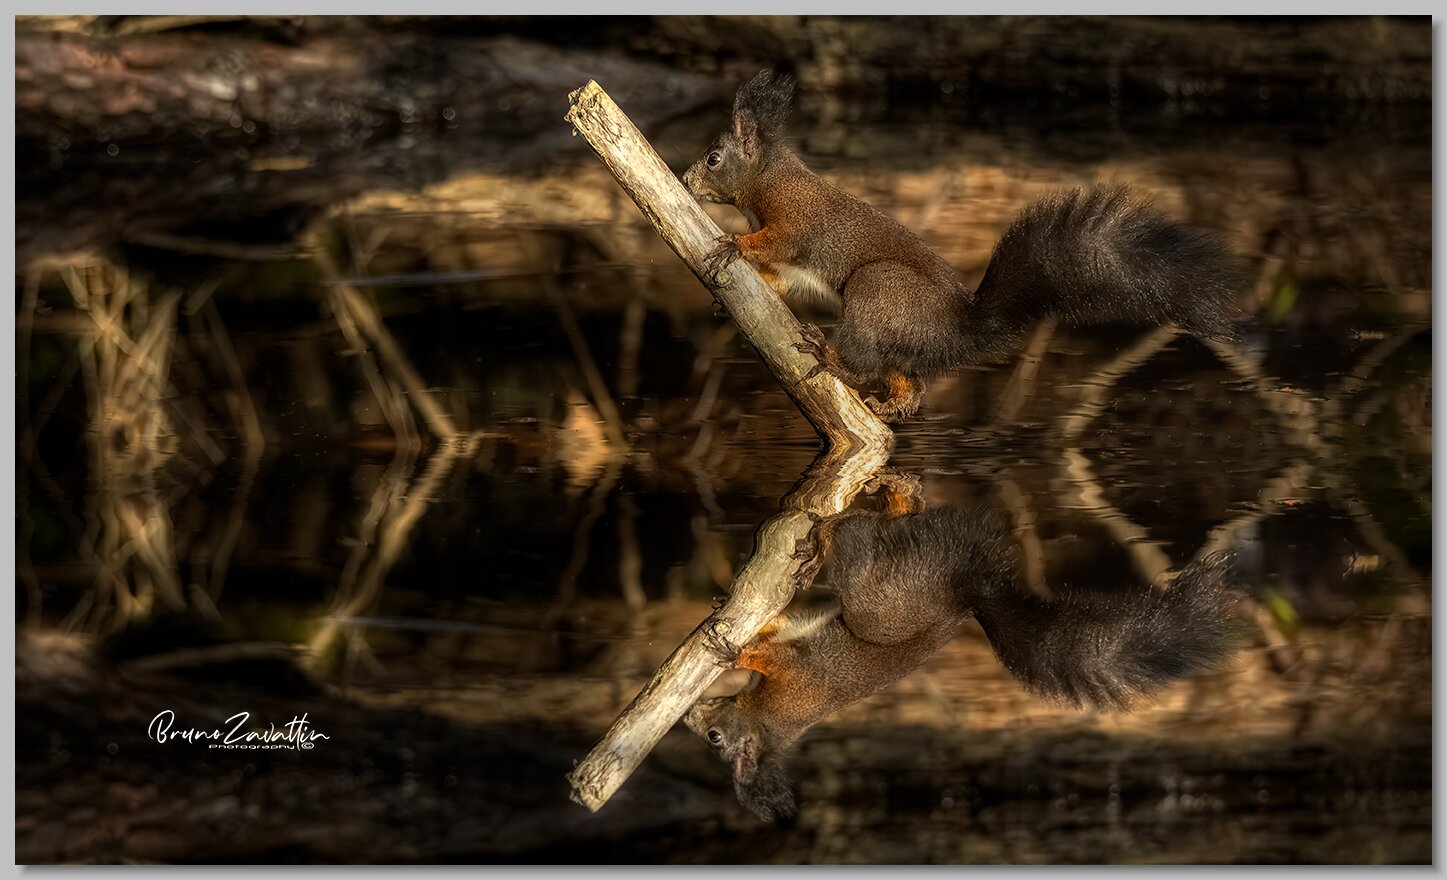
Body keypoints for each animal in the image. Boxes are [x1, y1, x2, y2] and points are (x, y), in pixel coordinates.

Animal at [682, 69, 1252, 421]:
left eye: (713, 158)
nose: (686, 182)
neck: (770, 180)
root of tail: (958, 331)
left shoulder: (798, 222)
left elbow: (774, 242)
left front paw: (733, 244)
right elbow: (775, 279)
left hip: (880, 289)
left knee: (864, 359)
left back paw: (831, 355)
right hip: (900, 339)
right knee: (909, 385)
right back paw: (891, 408)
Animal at [683, 495, 1251, 822]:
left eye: (714, 738)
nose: (689, 716)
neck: (767, 718)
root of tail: (966, 593)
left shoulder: (794, 679)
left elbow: (769, 655)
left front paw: (734, 647)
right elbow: (775, 625)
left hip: (874, 601)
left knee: (861, 543)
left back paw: (833, 528)